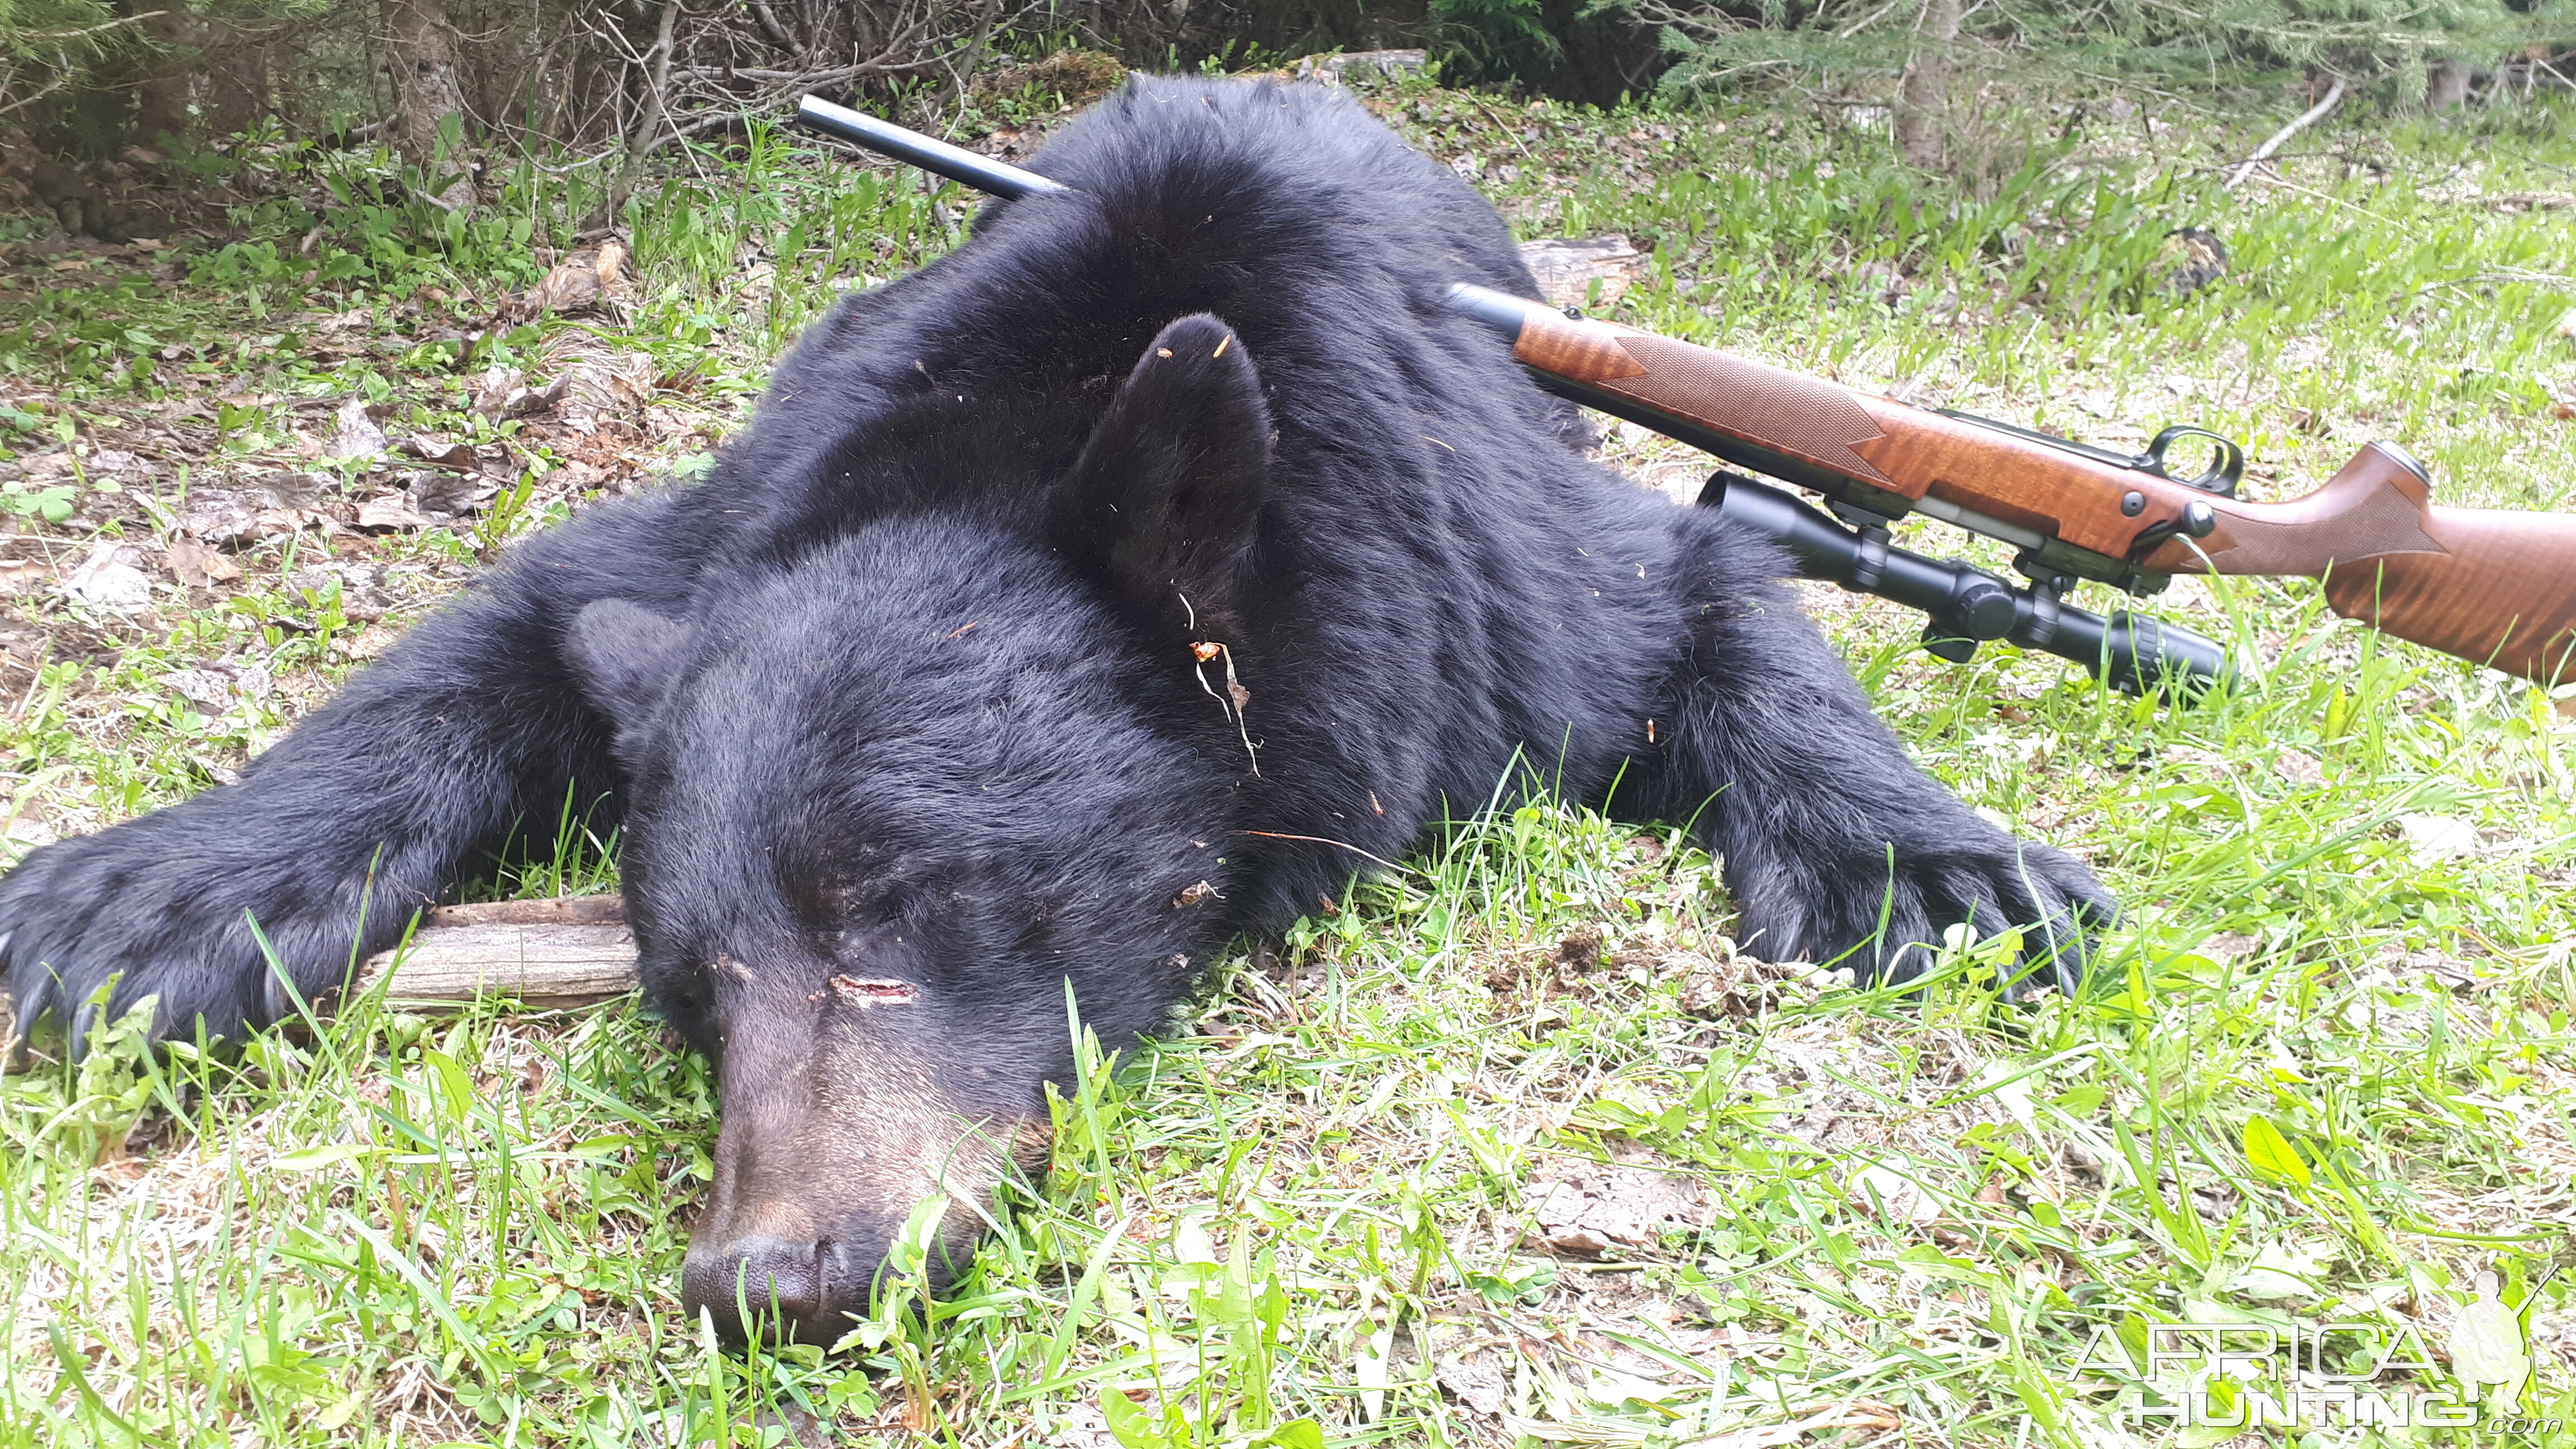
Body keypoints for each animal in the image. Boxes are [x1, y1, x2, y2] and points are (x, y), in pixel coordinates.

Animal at [0, 79, 2112, 1341]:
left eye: (899, 908)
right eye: (688, 988)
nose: (768, 1275)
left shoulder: (1491, 568)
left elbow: (1716, 588)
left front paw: (1934, 868)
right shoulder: (737, 519)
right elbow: (503, 621)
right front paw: (153, 897)